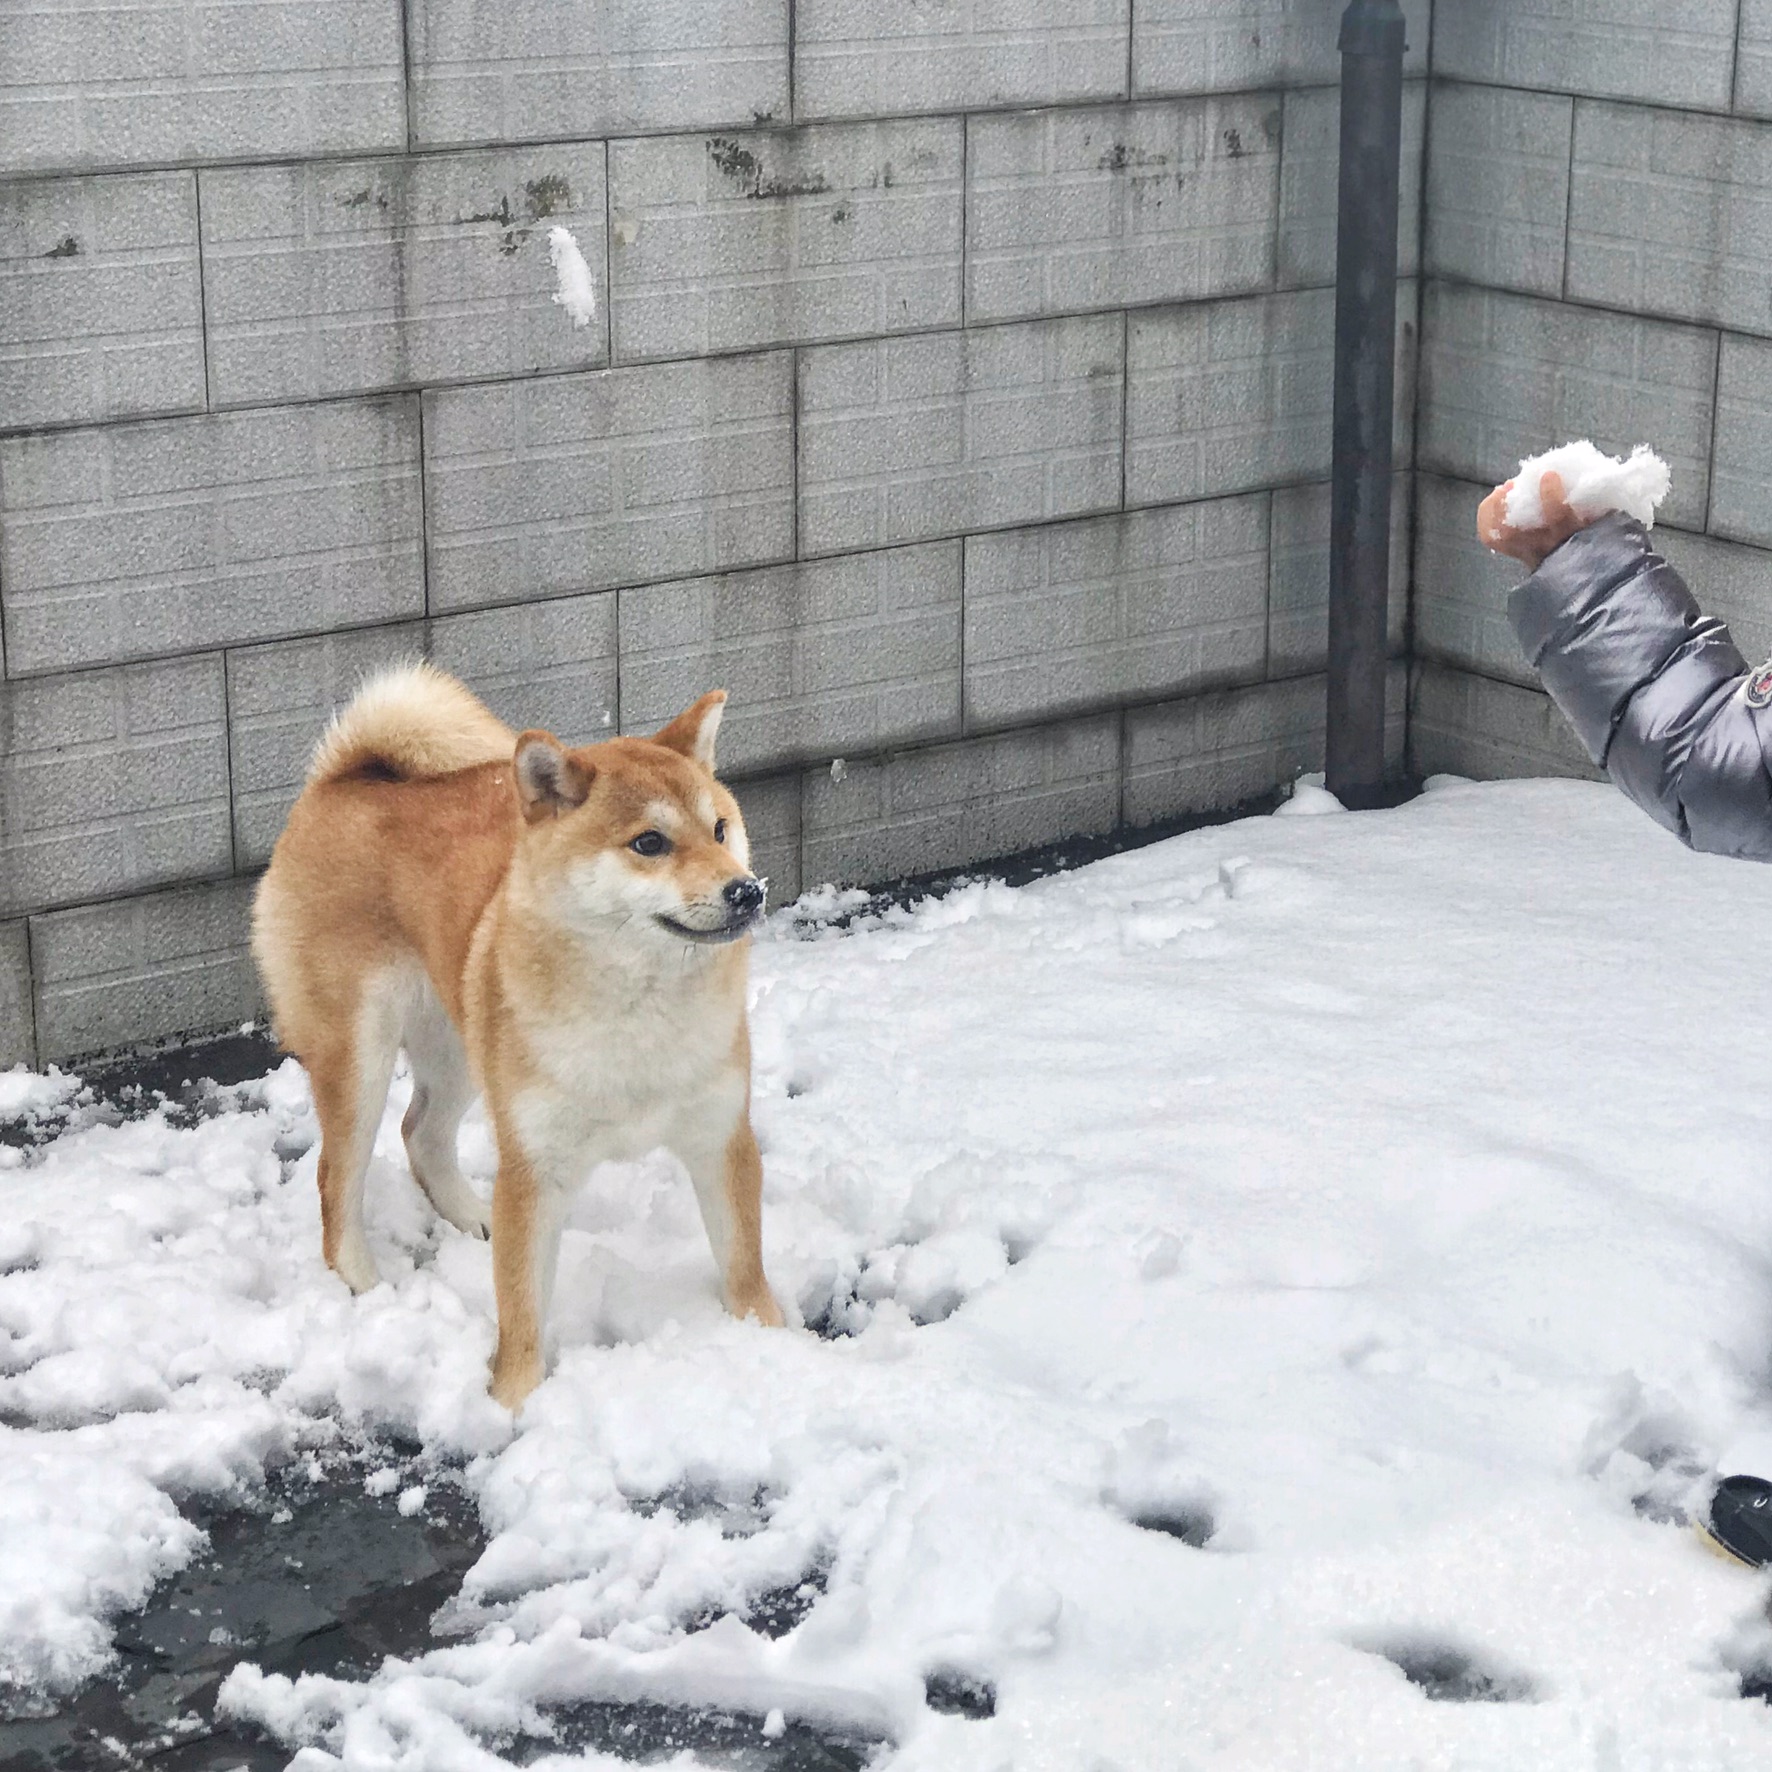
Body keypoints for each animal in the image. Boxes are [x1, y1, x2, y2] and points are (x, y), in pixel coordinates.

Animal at [249, 666, 783, 1410]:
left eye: (720, 829)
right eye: (649, 843)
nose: (746, 892)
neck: (639, 1012)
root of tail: (343, 778)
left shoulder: (720, 1137)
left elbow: (743, 1265)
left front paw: (775, 1341)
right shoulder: (534, 1167)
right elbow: (522, 1305)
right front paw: (513, 1402)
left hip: (462, 1042)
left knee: (421, 1132)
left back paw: (472, 1214)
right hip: (359, 1056)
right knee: (337, 1177)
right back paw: (363, 1280)